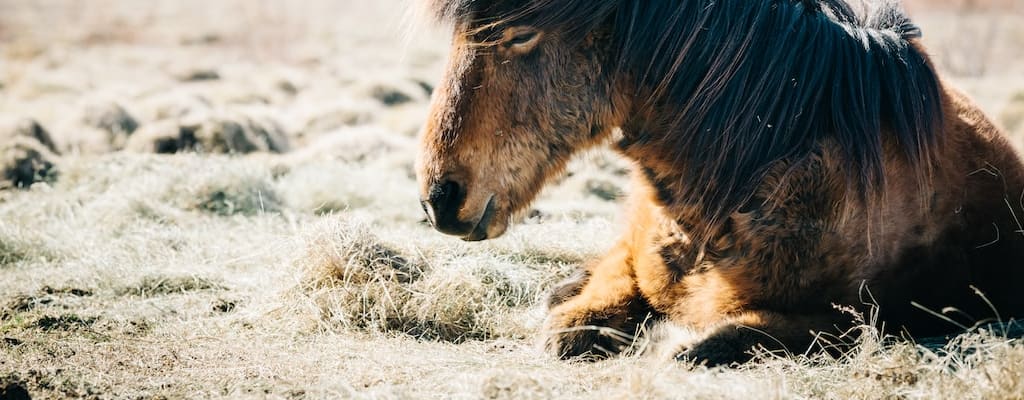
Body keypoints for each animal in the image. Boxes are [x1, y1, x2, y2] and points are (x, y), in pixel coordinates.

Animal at [411, 0, 1024, 366]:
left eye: (521, 34)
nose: (440, 198)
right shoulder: (633, 258)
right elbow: (578, 319)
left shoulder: (878, 318)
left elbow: (723, 338)